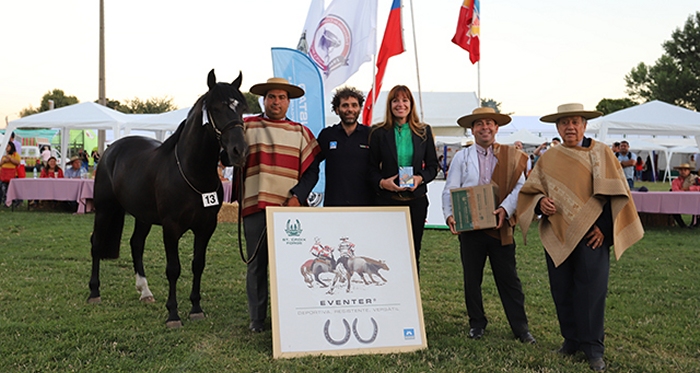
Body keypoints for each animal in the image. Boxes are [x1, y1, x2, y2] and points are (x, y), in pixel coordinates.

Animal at [89, 69, 249, 326]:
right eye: (216, 108)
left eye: (242, 108)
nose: (239, 151)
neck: (192, 173)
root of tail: (110, 149)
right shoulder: (171, 228)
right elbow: (173, 269)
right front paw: (173, 314)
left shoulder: (206, 227)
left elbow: (198, 265)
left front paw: (196, 308)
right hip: (104, 209)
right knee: (96, 243)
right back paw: (94, 292)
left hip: (143, 216)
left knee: (136, 244)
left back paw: (145, 291)